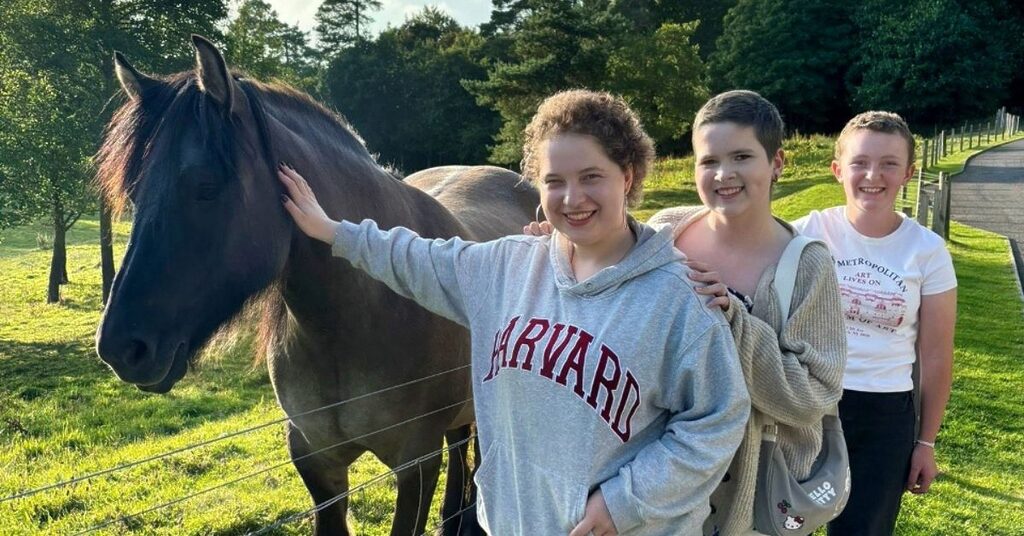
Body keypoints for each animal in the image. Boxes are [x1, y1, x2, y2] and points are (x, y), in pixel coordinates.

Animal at [95, 35, 540, 532]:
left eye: (206, 187)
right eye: (134, 193)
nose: (121, 348)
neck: (358, 317)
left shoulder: (416, 466)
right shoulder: (316, 461)